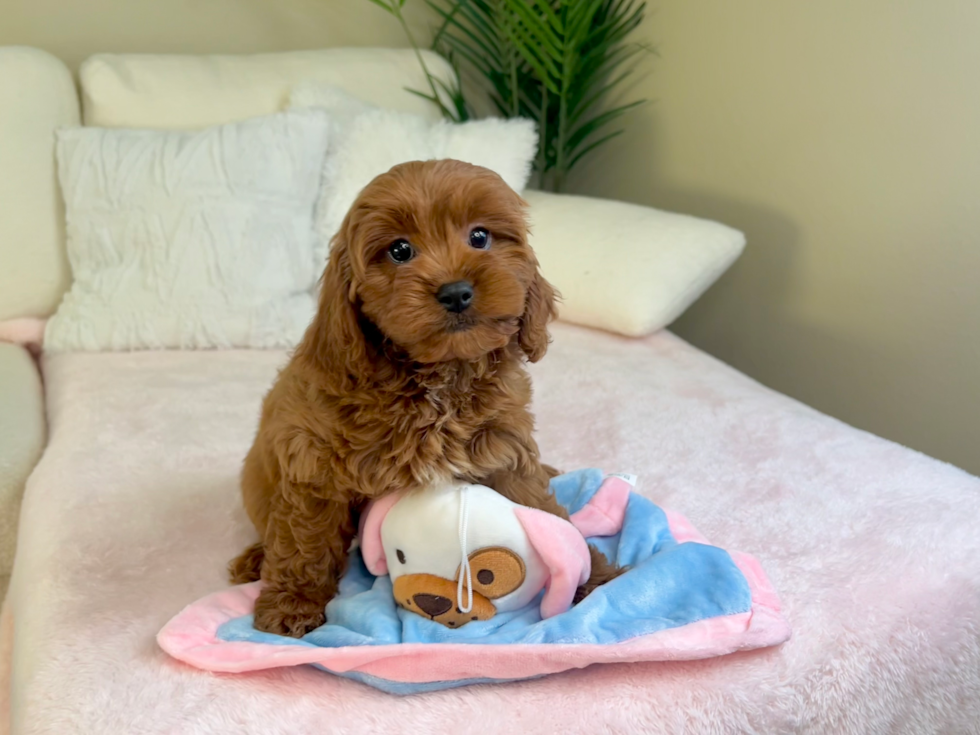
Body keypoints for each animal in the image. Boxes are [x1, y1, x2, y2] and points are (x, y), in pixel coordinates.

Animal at [230, 158, 620, 636]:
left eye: (479, 237)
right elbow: (306, 541)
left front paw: (595, 578)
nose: (456, 292)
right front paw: (293, 603)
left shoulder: (503, 449)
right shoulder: (311, 464)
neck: (438, 376)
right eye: (399, 250)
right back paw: (256, 558)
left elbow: (543, 507)